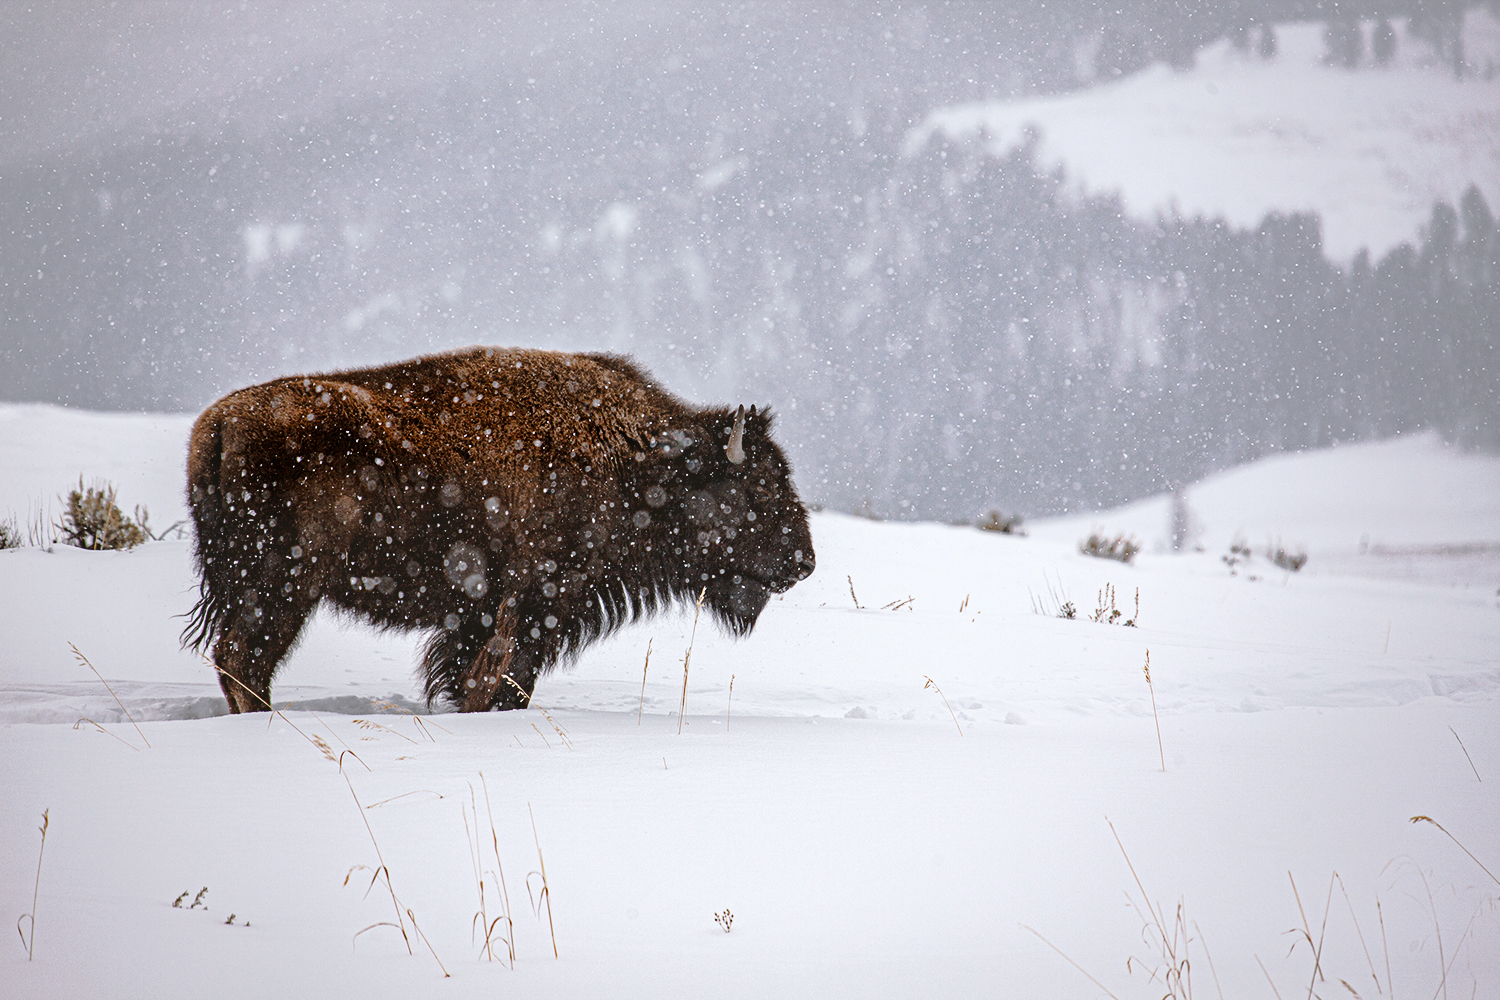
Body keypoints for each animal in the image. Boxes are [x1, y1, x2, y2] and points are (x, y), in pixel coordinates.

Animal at [181, 347, 816, 716]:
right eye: (758, 490)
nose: (805, 563)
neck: (634, 459)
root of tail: (219, 424)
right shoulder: (534, 603)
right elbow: (503, 681)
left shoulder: (481, 614)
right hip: (286, 582)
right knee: (244, 657)